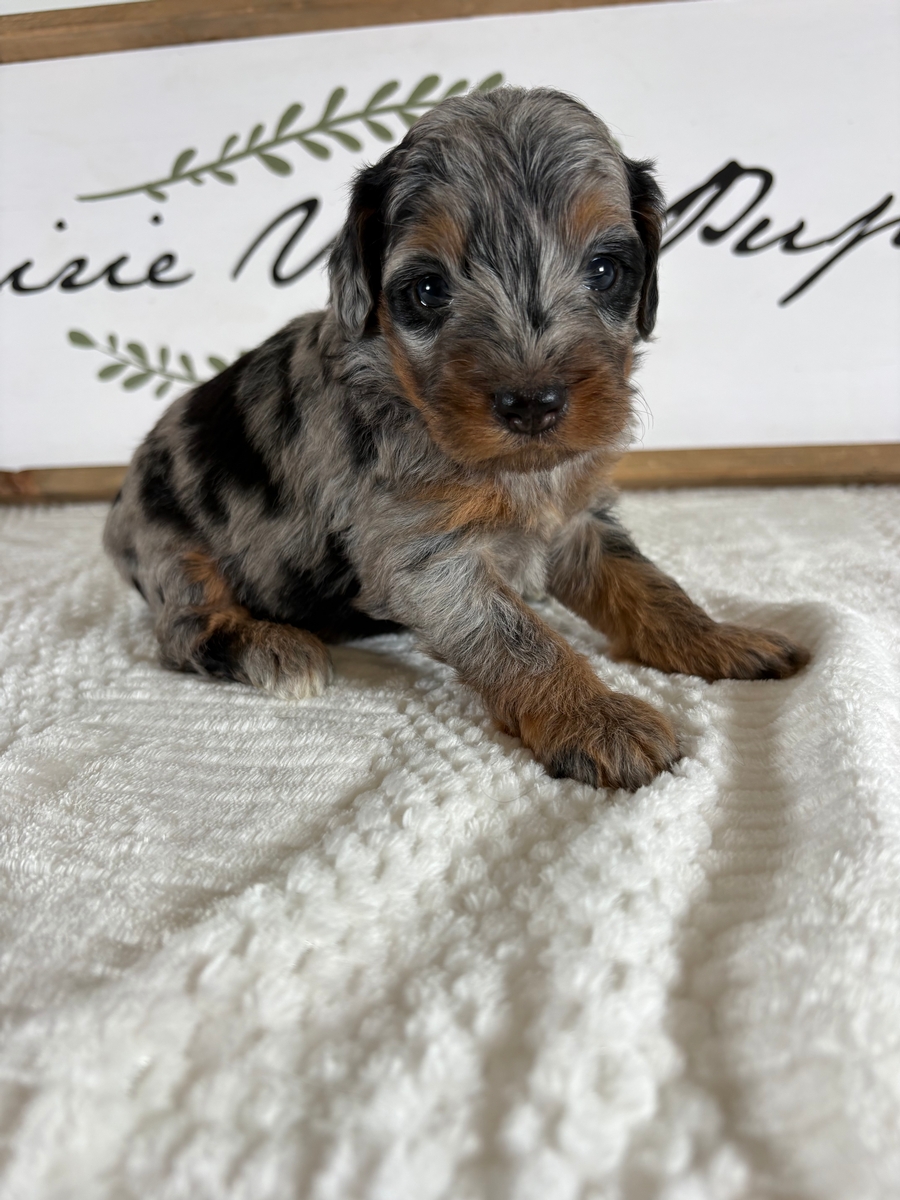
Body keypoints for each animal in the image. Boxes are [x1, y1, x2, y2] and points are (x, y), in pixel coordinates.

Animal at [104, 87, 809, 791]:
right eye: (426, 290)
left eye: (606, 270)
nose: (532, 404)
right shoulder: (423, 556)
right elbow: (518, 636)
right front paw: (598, 718)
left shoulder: (577, 519)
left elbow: (650, 587)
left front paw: (721, 640)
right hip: (171, 548)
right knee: (184, 629)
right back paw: (273, 648)